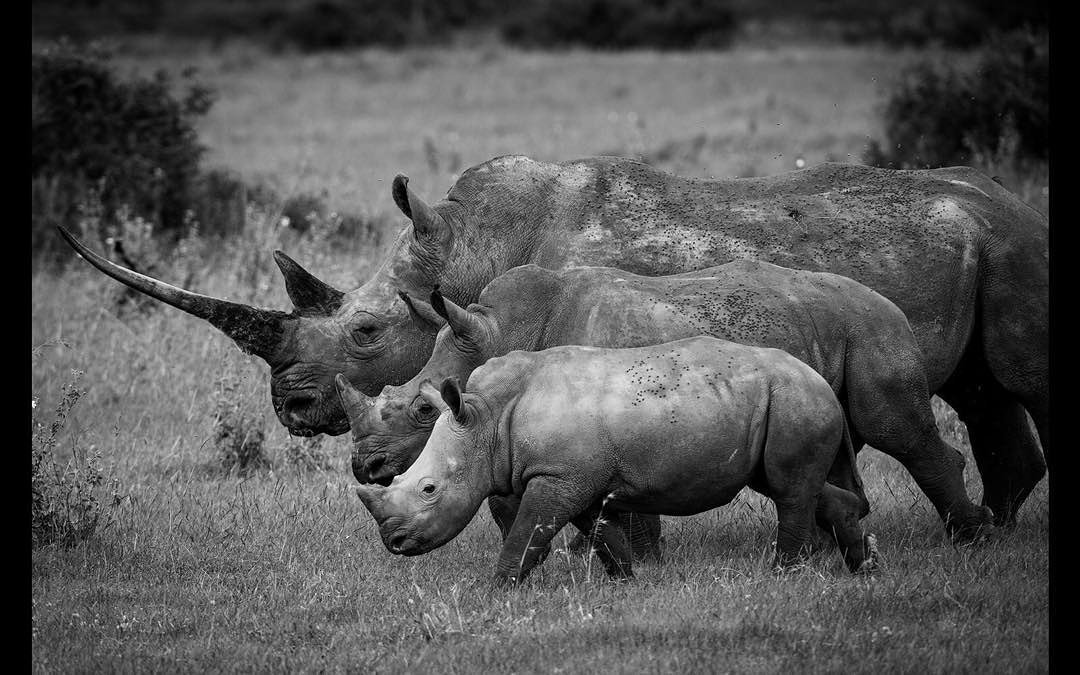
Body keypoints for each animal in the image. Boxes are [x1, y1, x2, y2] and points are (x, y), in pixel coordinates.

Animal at [336, 260, 993, 544]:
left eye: (425, 412)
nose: (364, 467)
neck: (499, 328)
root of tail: (890, 302)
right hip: (831, 338)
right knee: (838, 450)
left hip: (873, 328)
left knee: (894, 429)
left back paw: (972, 537)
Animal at [352, 336, 876, 583]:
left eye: (429, 489)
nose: (394, 543)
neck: (486, 419)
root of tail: (819, 379)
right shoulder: (576, 478)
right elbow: (602, 531)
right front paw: (628, 581)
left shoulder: (557, 476)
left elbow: (528, 531)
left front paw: (500, 588)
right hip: (777, 402)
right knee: (786, 484)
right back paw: (863, 566)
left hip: (793, 399)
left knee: (788, 490)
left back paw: (783, 573)